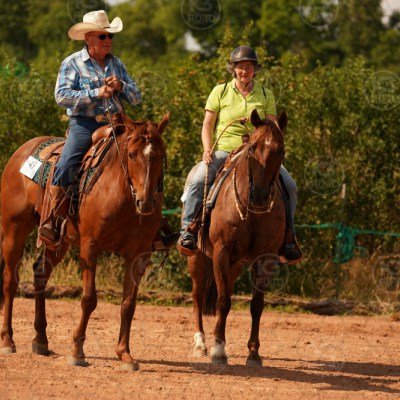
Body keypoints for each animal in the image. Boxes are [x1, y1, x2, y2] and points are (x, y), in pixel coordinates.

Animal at [0, 112, 169, 370]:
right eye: (132, 154)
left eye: (161, 155)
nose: (146, 202)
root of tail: (20, 153)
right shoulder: (90, 247)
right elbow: (89, 299)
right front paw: (77, 352)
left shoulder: (139, 255)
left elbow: (128, 305)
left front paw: (125, 355)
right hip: (14, 229)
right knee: (10, 280)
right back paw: (8, 340)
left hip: (57, 241)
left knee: (40, 273)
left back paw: (41, 340)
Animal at [186, 109, 287, 366]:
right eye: (252, 148)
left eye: (280, 150)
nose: (259, 194)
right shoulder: (221, 252)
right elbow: (223, 301)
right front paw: (219, 351)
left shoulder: (265, 258)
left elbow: (256, 305)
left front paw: (253, 353)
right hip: (197, 257)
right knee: (198, 295)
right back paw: (201, 343)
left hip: (235, 265)